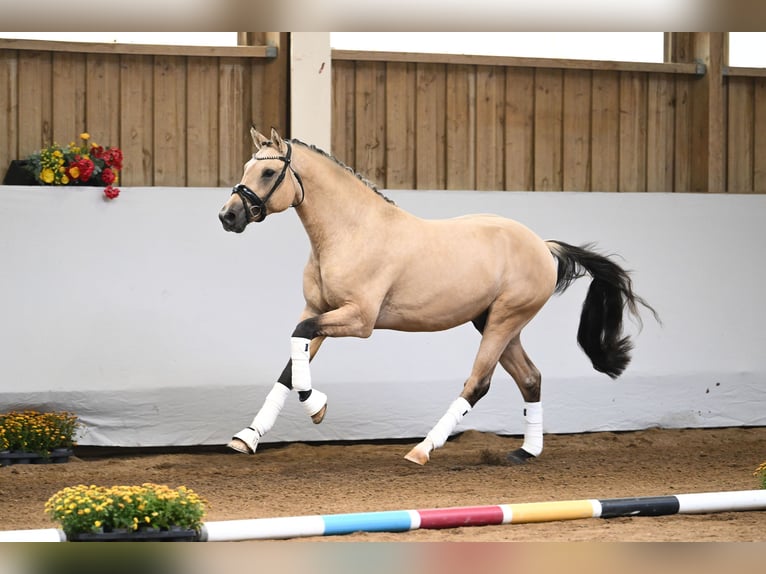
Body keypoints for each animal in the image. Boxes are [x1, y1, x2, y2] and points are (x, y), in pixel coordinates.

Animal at [218, 127, 658, 465]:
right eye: (246, 168)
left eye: (268, 170)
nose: (228, 216)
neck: (351, 232)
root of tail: (543, 246)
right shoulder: (320, 309)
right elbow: (291, 363)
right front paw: (247, 437)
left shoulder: (359, 319)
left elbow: (301, 339)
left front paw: (317, 408)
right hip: (495, 322)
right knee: (530, 377)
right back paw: (525, 452)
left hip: (505, 320)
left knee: (478, 382)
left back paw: (422, 450)